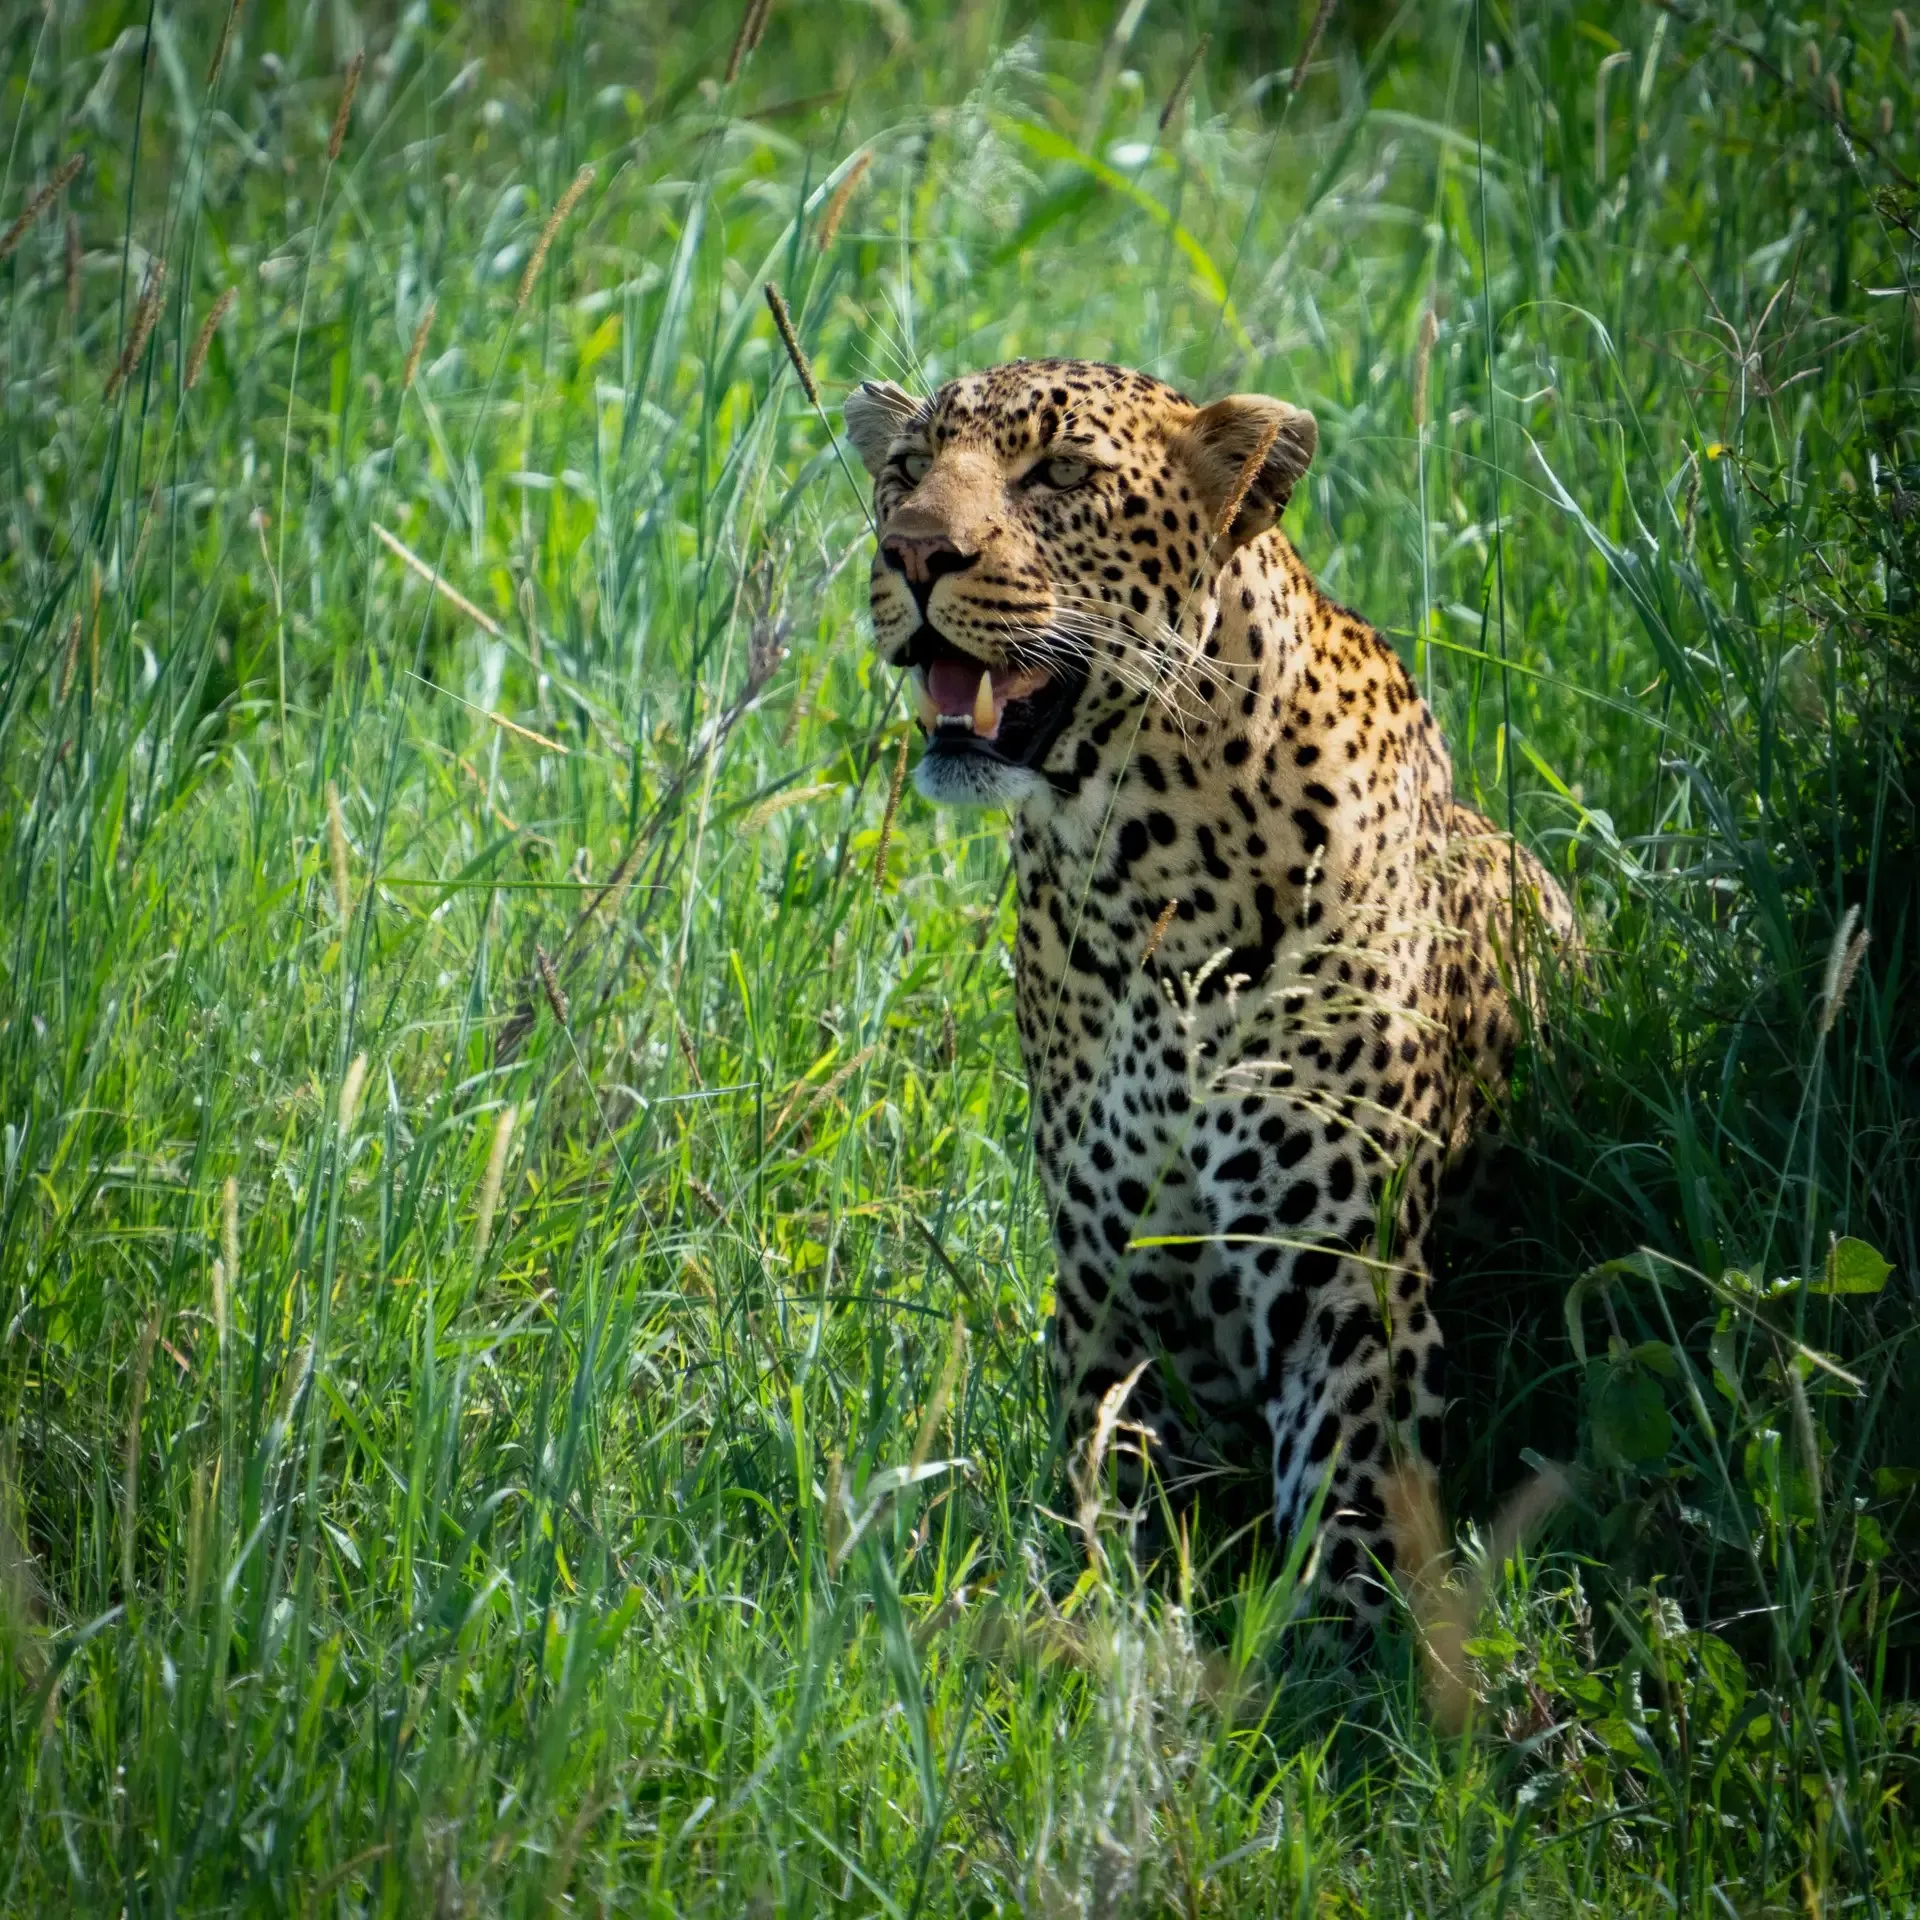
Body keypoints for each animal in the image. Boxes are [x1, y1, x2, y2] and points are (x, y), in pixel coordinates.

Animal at [842, 356, 1575, 1617]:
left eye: (1060, 475)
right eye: (906, 469)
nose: (914, 553)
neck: (1143, 868)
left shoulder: (1348, 1289)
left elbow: (1356, 1519)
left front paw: (1349, 1661)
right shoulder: (1112, 1290)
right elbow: (1116, 1520)